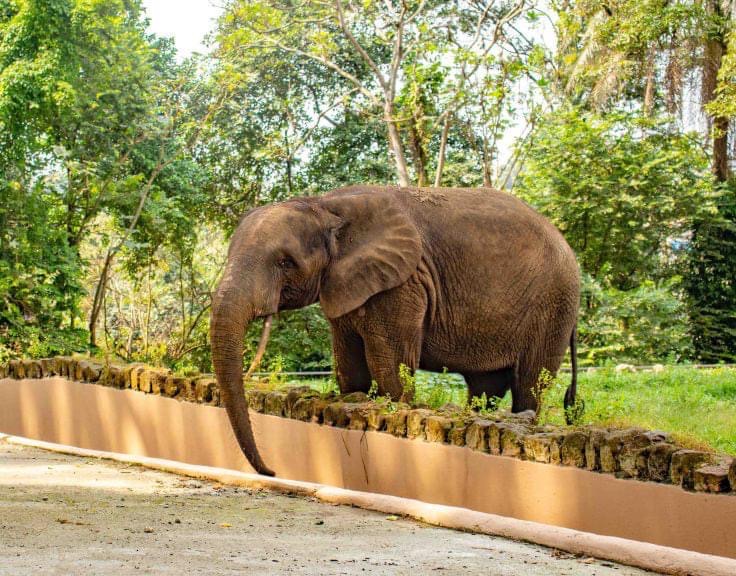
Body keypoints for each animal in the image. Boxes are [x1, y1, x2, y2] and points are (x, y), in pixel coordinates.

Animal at [210, 185, 580, 476]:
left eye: (285, 262)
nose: (272, 471)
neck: (325, 205)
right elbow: (350, 370)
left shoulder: (403, 284)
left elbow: (390, 371)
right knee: (485, 387)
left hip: (553, 304)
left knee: (530, 384)